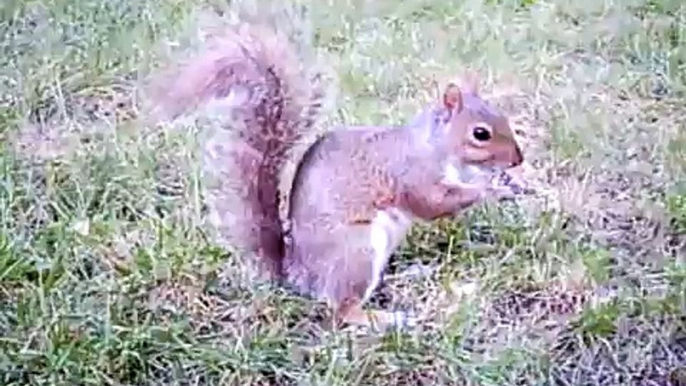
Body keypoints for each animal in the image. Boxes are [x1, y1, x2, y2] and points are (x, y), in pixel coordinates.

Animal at [148, 21, 524, 332]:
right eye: (480, 134)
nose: (518, 159)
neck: (435, 146)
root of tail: (298, 274)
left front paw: (507, 183)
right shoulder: (412, 174)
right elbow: (433, 203)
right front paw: (491, 190)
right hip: (356, 252)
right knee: (342, 310)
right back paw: (385, 319)